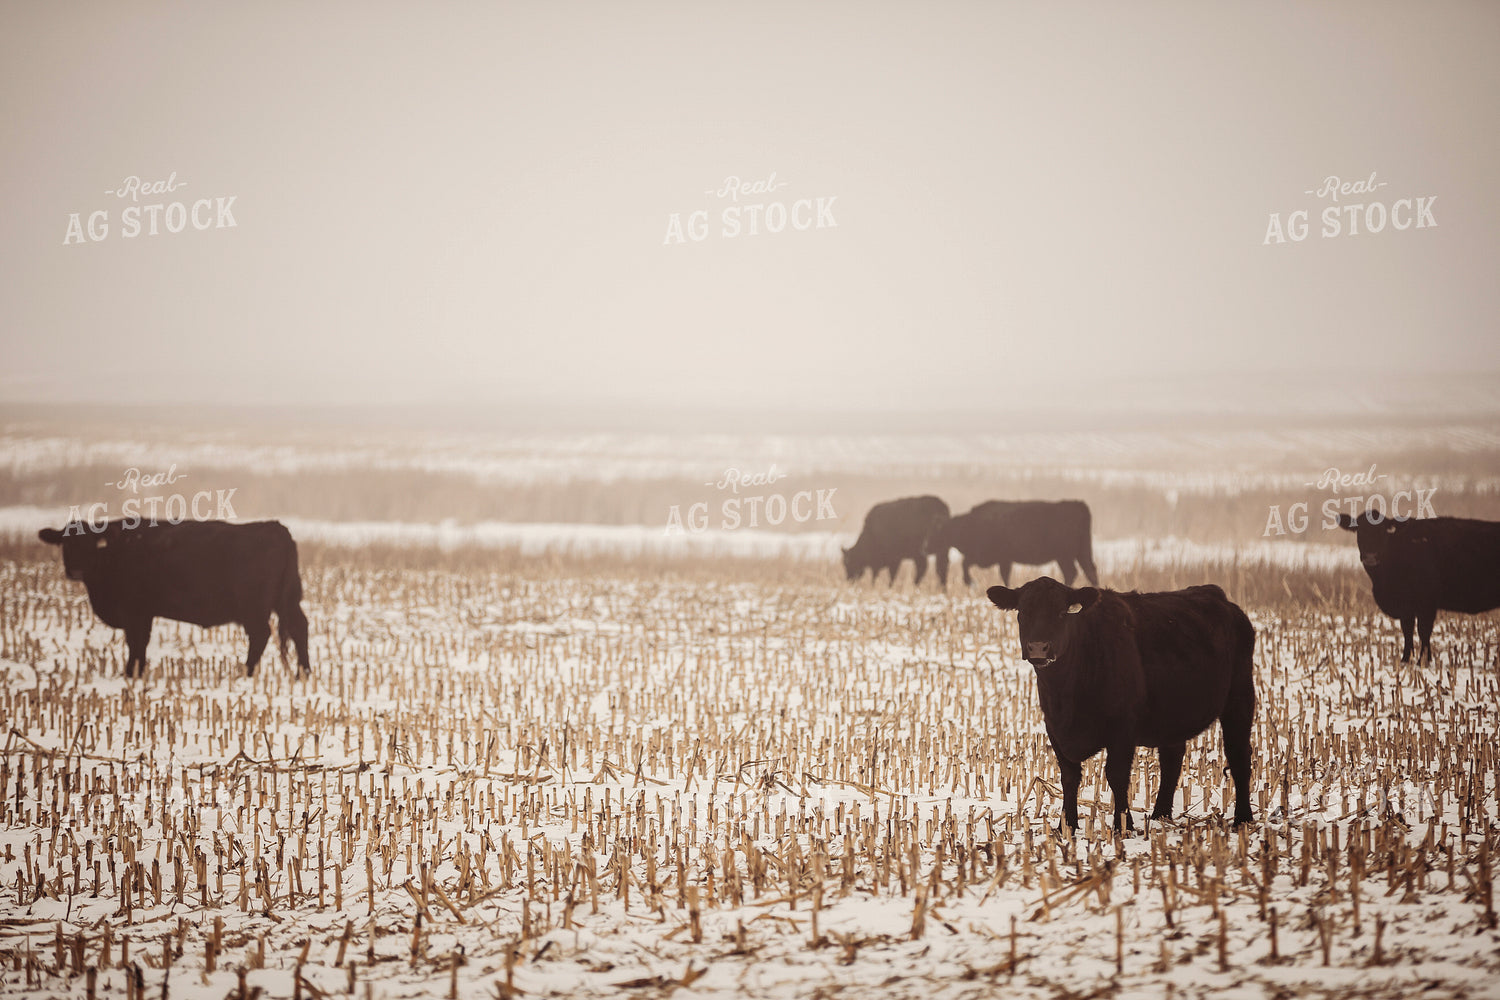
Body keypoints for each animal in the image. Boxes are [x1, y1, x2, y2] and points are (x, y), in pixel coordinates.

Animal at [38, 519, 311, 679]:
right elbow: (140, 644)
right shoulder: (143, 613)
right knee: (299, 628)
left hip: (253, 608)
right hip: (287, 601)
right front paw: (137, 671)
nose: (75, 570)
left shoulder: (134, 612)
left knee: (261, 635)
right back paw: (303, 672)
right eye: (65, 543)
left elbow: (135, 643)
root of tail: (276, 528)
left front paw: (130, 673)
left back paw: (246, 672)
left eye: (89, 544)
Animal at [932, 499, 1097, 589]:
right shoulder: (1003, 560)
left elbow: (965, 564)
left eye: (938, 531)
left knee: (1073, 572)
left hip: (1065, 556)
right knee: (1089, 570)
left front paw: (970, 582)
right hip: (1080, 553)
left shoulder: (989, 558)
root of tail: (1078, 505)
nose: (927, 546)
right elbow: (1004, 575)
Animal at [986, 577, 1255, 831]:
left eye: (1062, 613)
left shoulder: (1122, 728)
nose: (1038, 648)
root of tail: (1218, 596)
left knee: (1238, 755)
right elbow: (1069, 777)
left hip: (1240, 697)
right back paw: (1160, 815)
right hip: (1172, 715)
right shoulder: (1054, 728)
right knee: (1172, 759)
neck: (1065, 693)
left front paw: (1122, 825)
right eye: (1022, 612)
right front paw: (1067, 826)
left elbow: (1116, 775)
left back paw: (1243, 818)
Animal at [1337, 512, 1500, 664]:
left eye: (1383, 531)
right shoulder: (1406, 607)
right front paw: (1405, 659)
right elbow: (1407, 631)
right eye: (1359, 530)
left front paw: (1423, 660)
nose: (1370, 557)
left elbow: (1423, 631)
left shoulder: (1426, 603)